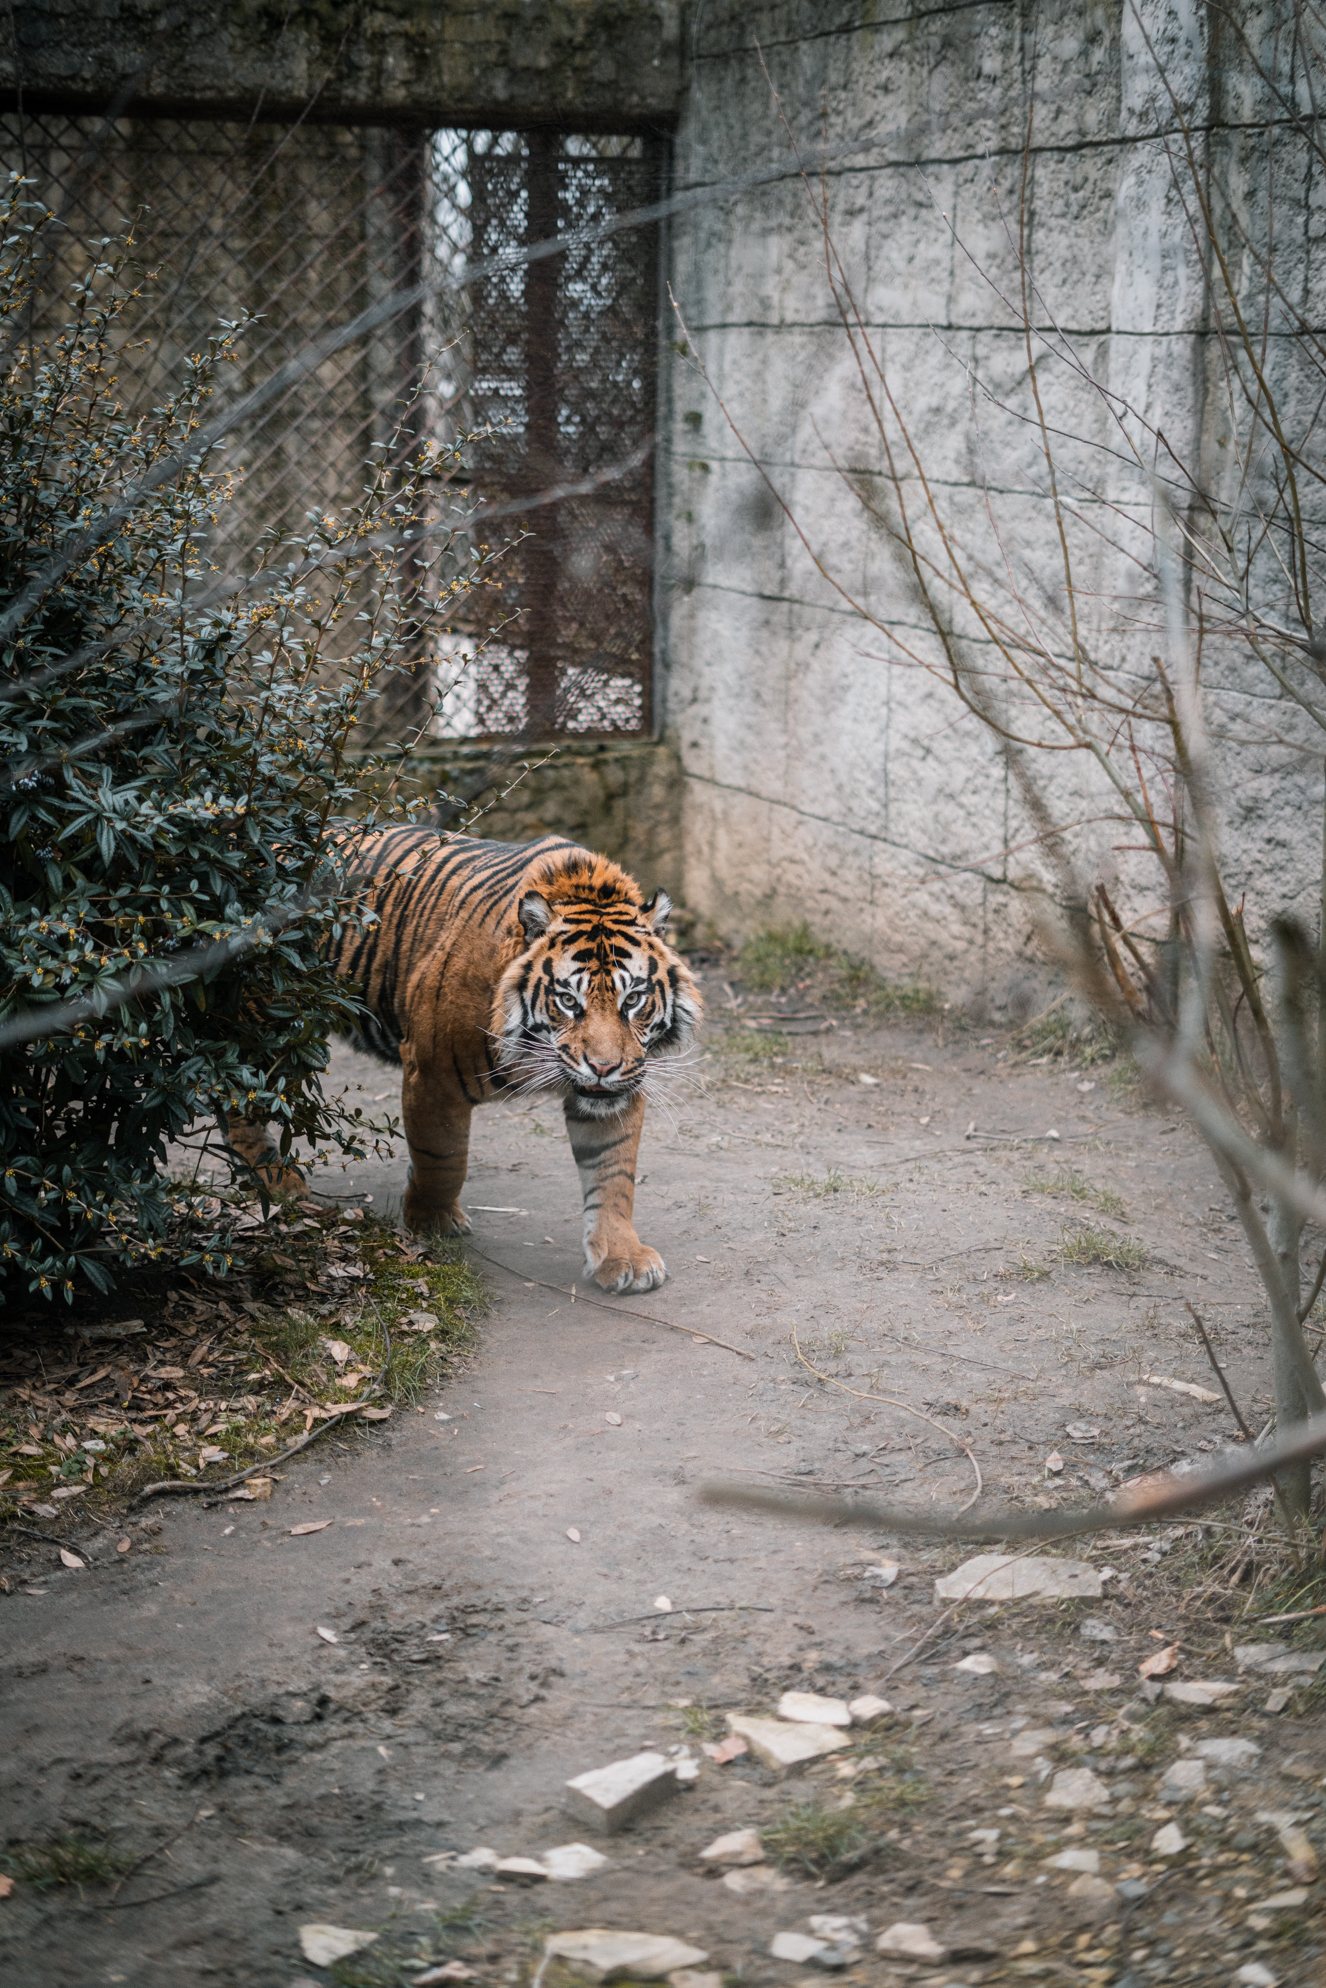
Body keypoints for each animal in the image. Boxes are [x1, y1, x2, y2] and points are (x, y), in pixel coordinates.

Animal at [226, 828, 701, 1292]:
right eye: (568, 1001)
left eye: (633, 999)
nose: (604, 1067)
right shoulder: (433, 1072)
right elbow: (443, 1156)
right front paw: (432, 1221)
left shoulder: (622, 1087)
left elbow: (612, 1174)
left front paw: (622, 1257)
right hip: (267, 1021)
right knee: (236, 1092)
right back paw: (275, 1179)